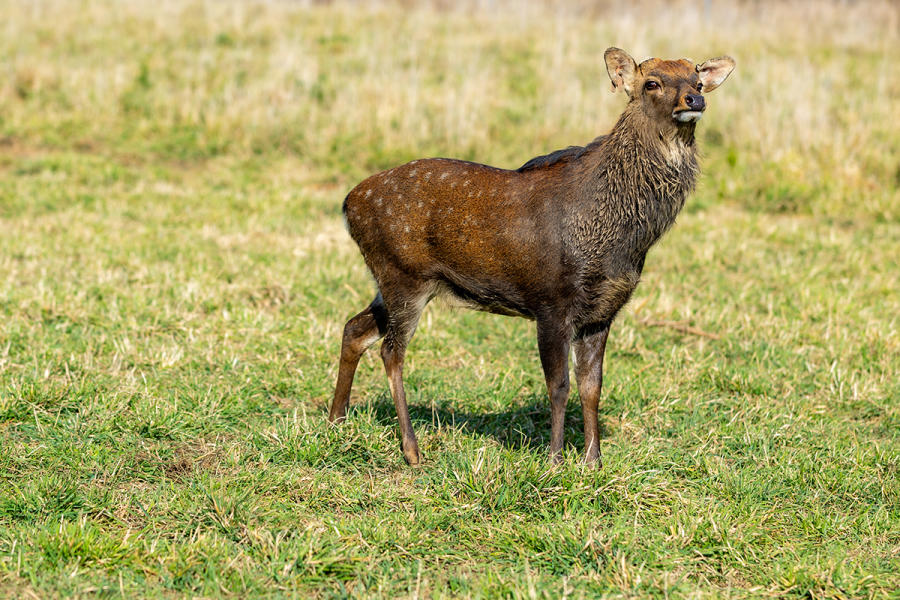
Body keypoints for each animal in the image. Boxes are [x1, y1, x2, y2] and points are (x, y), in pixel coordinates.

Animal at [328, 48, 735, 467]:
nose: (694, 100)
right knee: (391, 351)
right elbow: (559, 385)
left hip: (390, 280)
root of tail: (349, 204)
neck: (621, 242)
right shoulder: (551, 300)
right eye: (652, 83)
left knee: (354, 328)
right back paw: (411, 450)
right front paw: (555, 460)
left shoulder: (603, 310)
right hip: (403, 274)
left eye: (697, 80)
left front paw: (593, 461)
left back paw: (336, 421)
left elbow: (592, 386)